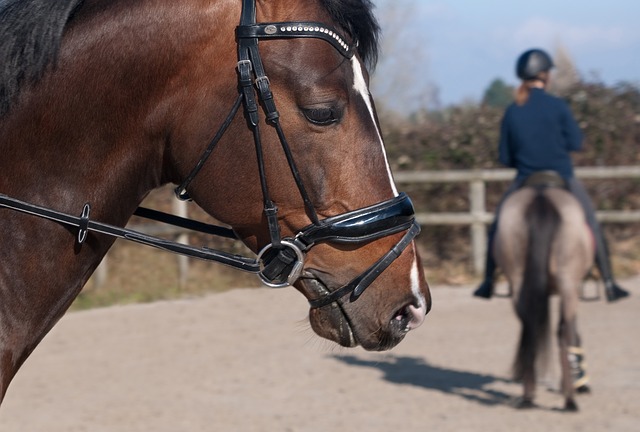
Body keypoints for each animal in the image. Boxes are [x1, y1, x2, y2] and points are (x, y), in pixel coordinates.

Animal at [496, 173, 596, 412]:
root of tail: (541, 198)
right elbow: (572, 331)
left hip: (519, 282)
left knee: (529, 325)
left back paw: (528, 395)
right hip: (568, 285)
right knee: (563, 332)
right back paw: (569, 398)